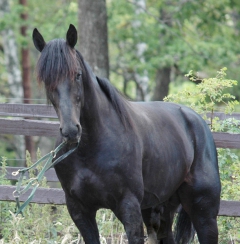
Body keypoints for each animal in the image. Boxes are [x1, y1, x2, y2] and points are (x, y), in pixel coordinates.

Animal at [32, 24, 221, 244]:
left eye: (77, 75)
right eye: (46, 81)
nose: (71, 131)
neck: (91, 147)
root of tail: (196, 121)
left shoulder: (128, 206)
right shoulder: (80, 210)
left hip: (204, 213)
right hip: (161, 208)